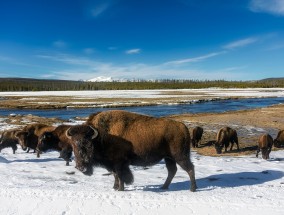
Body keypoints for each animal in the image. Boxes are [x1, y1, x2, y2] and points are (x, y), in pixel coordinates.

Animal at [67, 111, 196, 191]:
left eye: (89, 144)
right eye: (73, 144)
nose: (80, 167)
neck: (101, 136)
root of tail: (183, 127)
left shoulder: (119, 163)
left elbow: (120, 175)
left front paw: (120, 189)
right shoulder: (112, 164)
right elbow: (115, 175)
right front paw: (115, 187)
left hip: (180, 156)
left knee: (189, 168)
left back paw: (192, 189)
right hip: (168, 158)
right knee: (172, 171)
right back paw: (163, 187)